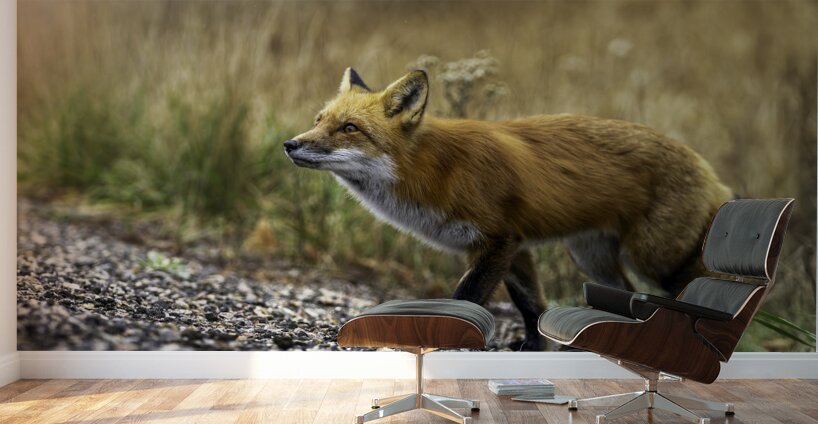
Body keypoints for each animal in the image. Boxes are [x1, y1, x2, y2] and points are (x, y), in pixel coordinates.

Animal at [284, 68, 733, 350]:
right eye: (319, 120)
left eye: (349, 129)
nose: (290, 144)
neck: (435, 170)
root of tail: (709, 169)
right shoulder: (515, 247)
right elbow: (533, 305)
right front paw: (534, 348)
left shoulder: (498, 240)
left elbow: (466, 299)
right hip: (593, 260)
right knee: (622, 298)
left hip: (656, 259)